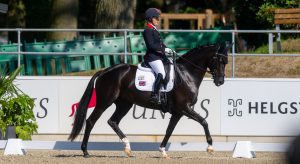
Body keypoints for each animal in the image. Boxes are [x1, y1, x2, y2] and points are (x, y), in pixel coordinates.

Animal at [69, 43, 231, 158]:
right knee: (91, 121)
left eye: (226, 62)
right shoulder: (184, 108)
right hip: (105, 102)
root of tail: (105, 71)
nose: (220, 81)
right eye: (218, 60)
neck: (186, 74)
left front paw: (163, 150)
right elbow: (204, 121)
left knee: (113, 121)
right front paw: (210, 147)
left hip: (125, 104)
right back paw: (85, 152)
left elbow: (169, 130)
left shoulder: (178, 112)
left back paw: (128, 148)